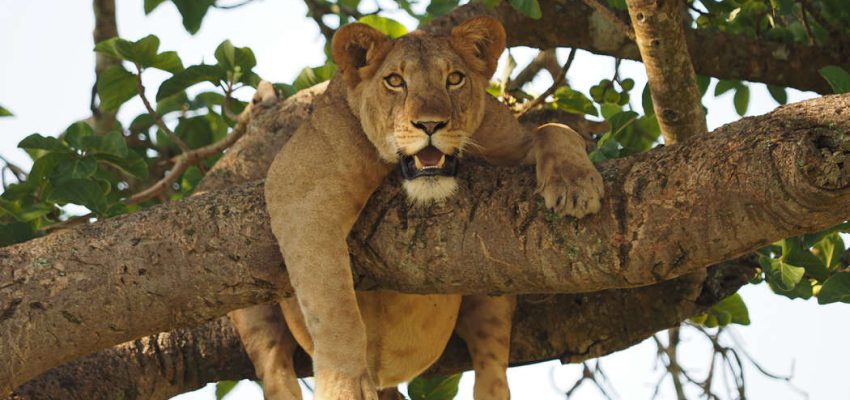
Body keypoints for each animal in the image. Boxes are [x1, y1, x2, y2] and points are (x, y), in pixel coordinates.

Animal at [233, 16, 604, 400]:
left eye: (454, 78)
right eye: (395, 81)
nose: (430, 125)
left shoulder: (505, 139)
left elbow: (554, 129)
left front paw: (576, 186)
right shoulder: (299, 189)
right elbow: (333, 305)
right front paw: (344, 387)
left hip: (494, 295)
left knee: (492, 365)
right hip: (253, 314)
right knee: (274, 367)